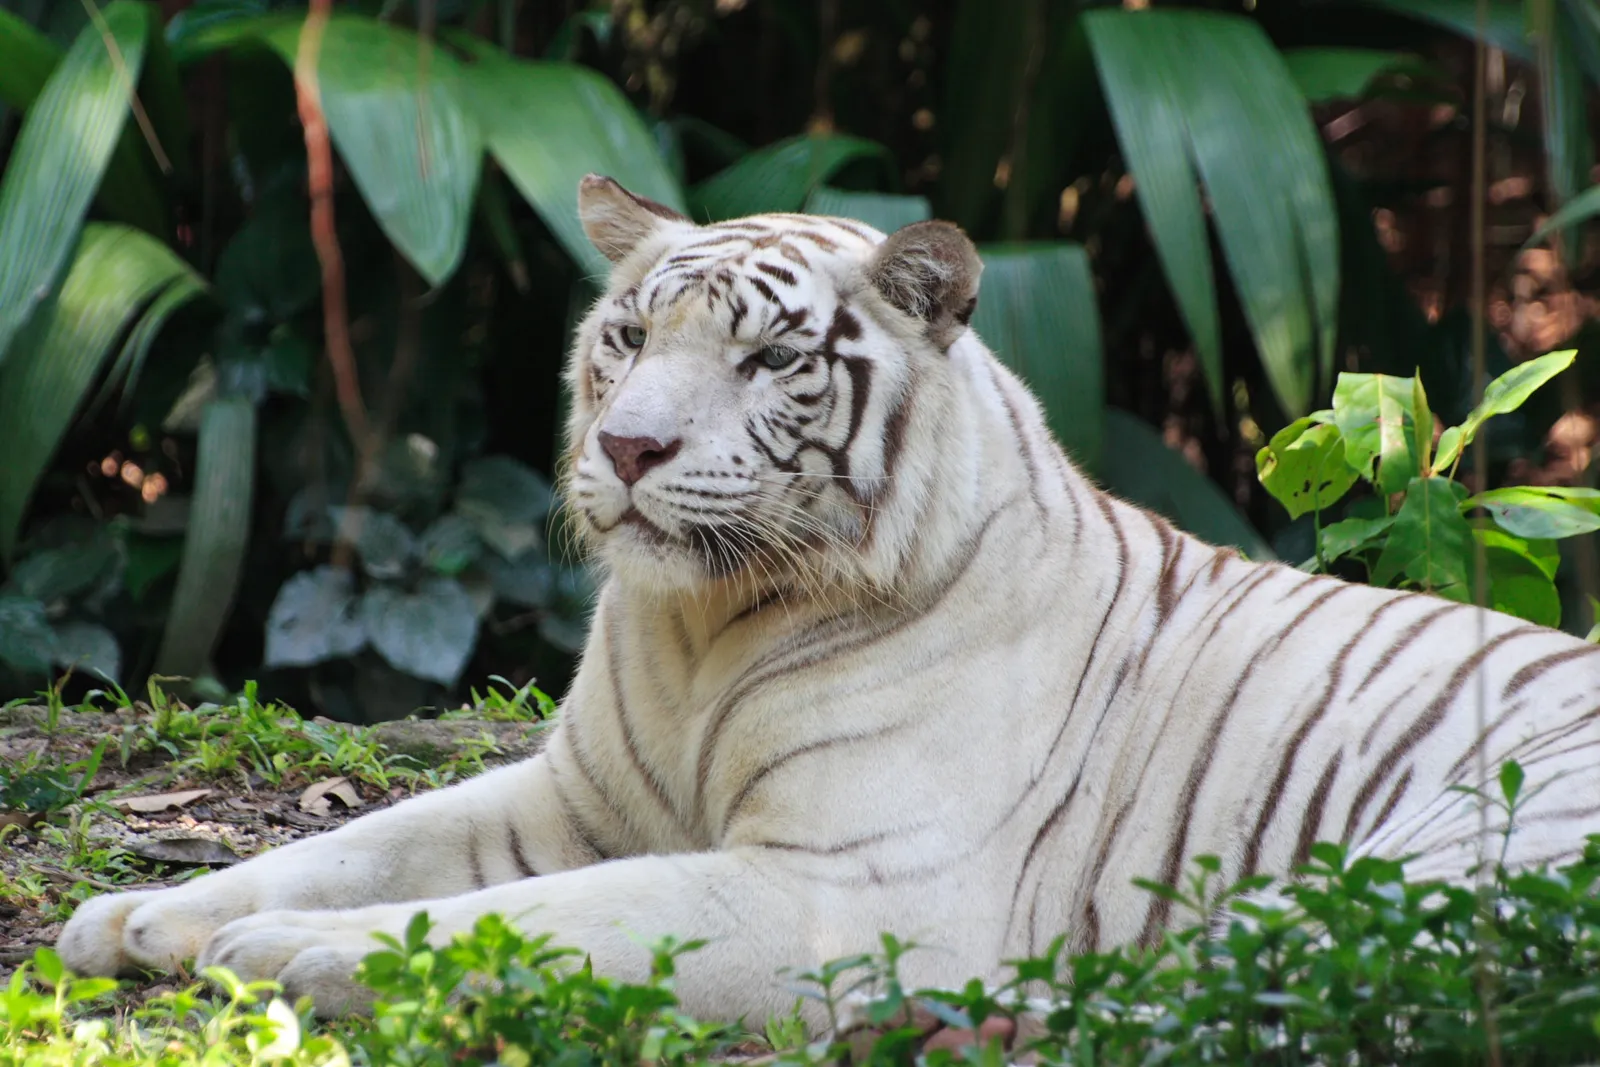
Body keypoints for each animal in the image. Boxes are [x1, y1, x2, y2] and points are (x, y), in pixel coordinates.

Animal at [58, 174, 1600, 1026]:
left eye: (768, 360)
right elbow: (360, 846)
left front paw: (286, 953)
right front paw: (137, 918)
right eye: (628, 336)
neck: (700, 628)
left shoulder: (838, 885)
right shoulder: (572, 800)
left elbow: (548, 919)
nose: (629, 447)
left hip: (1439, 856)